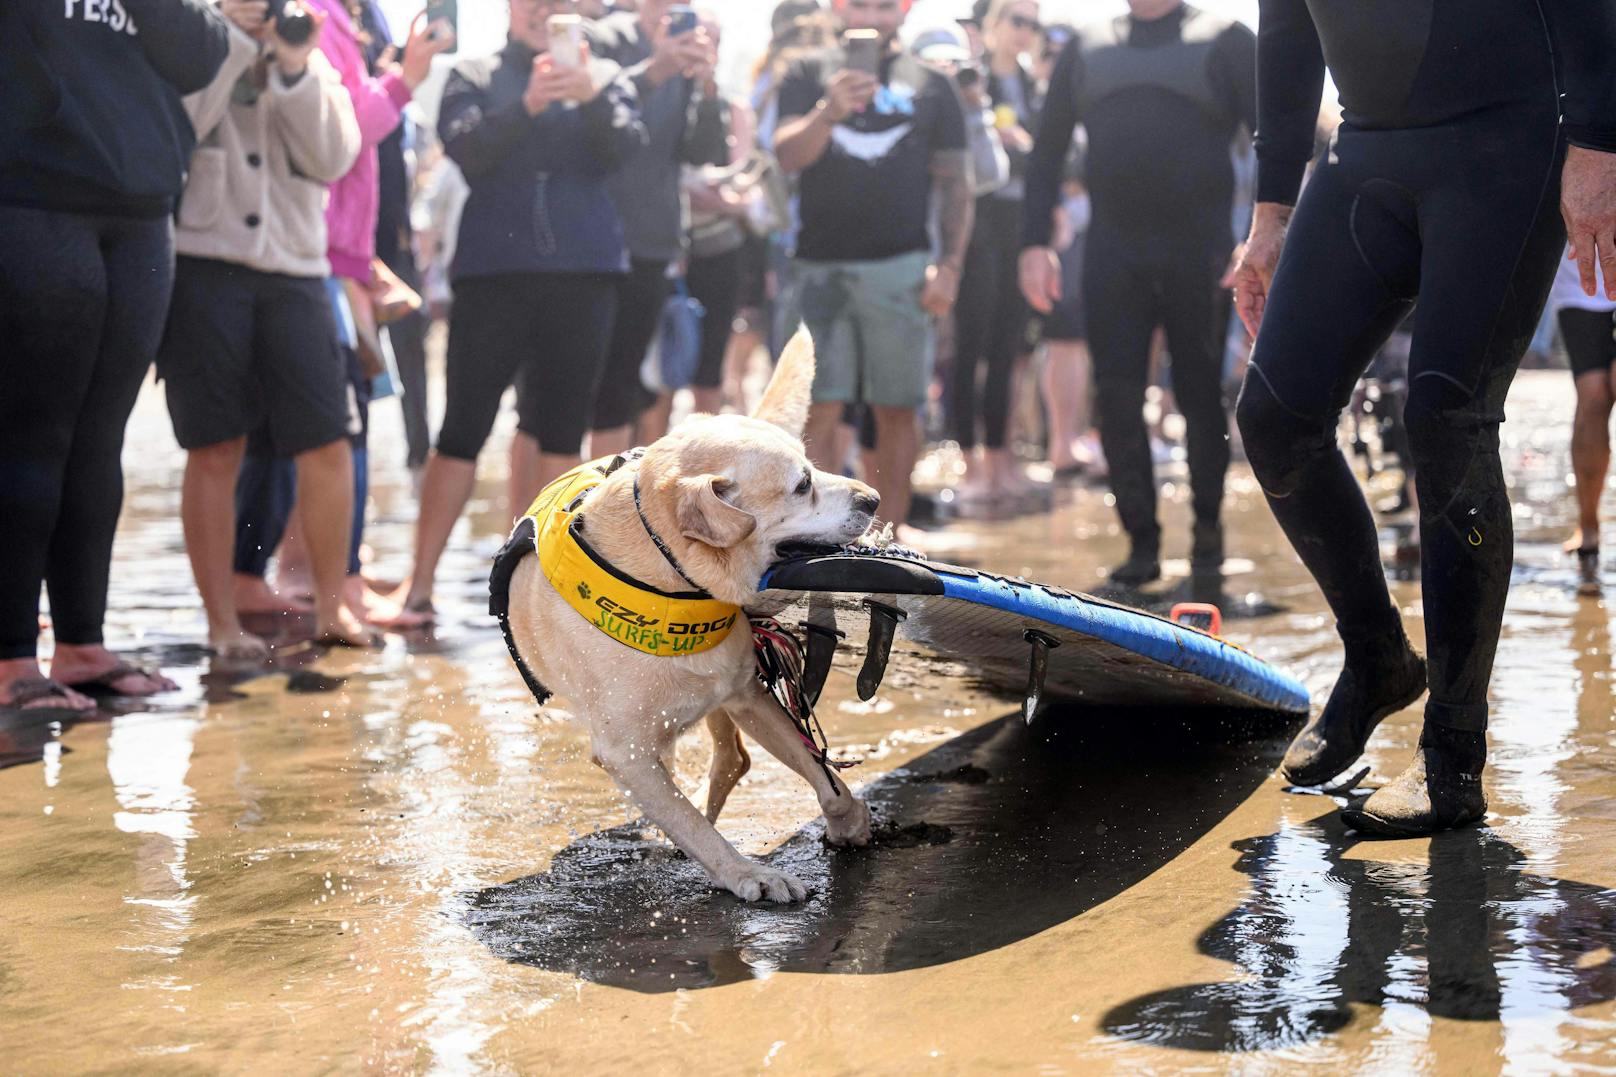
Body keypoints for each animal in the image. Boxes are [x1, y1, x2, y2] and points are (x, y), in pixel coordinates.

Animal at [507, 331, 879, 899]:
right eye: (802, 485)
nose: (873, 499)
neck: (671, 587)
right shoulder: (626, 753)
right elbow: (692, 827)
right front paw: (749, 873)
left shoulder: (748, 694)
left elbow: (824, 775)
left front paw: (848, 820)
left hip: (725, 701)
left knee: (732, 759)